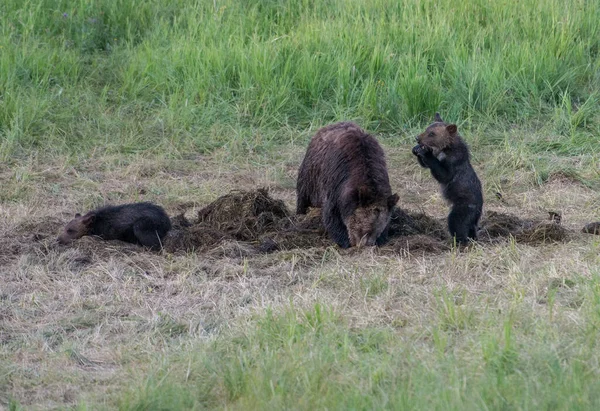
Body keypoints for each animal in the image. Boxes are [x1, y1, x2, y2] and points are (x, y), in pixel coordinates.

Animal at [296, 120, 398, 248]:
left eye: (377, 230)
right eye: (361, 227)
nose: (363, 244)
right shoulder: (335, 190)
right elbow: (332, 217)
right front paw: (344, 240)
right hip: (309, 177)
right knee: (303, 197)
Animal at [412, 113, 482, 245]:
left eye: (432, 133)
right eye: (426, 128)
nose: (417, 138)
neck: (445, 148)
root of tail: (478, 213)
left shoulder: (453, 161)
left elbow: (444, 174)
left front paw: (425, 152)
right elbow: (425, 164)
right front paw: (417, 149)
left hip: (464, 206)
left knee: (457, 222)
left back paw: (460, 242)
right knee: (470, 228)